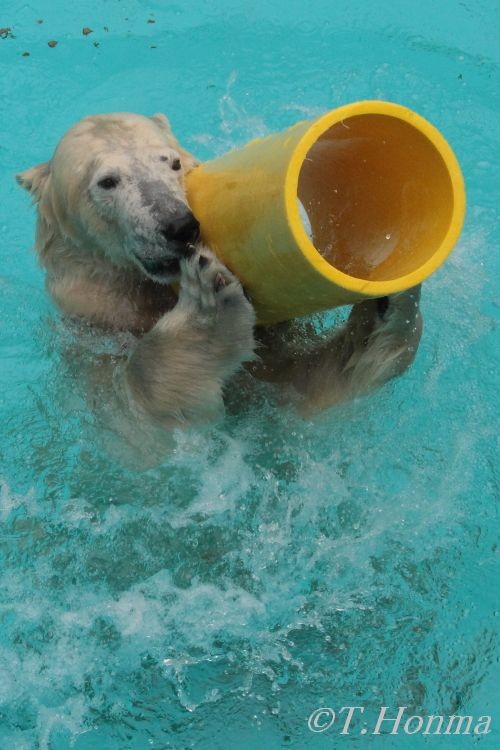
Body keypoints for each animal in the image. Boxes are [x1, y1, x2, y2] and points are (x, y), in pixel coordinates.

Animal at [16, 111, 422, 428]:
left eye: (172, 163)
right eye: (107, 181)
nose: (180, 226)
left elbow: (308, 384)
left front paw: (392, 298)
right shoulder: (92, 343)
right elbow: (134, 419)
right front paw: (207, 305)